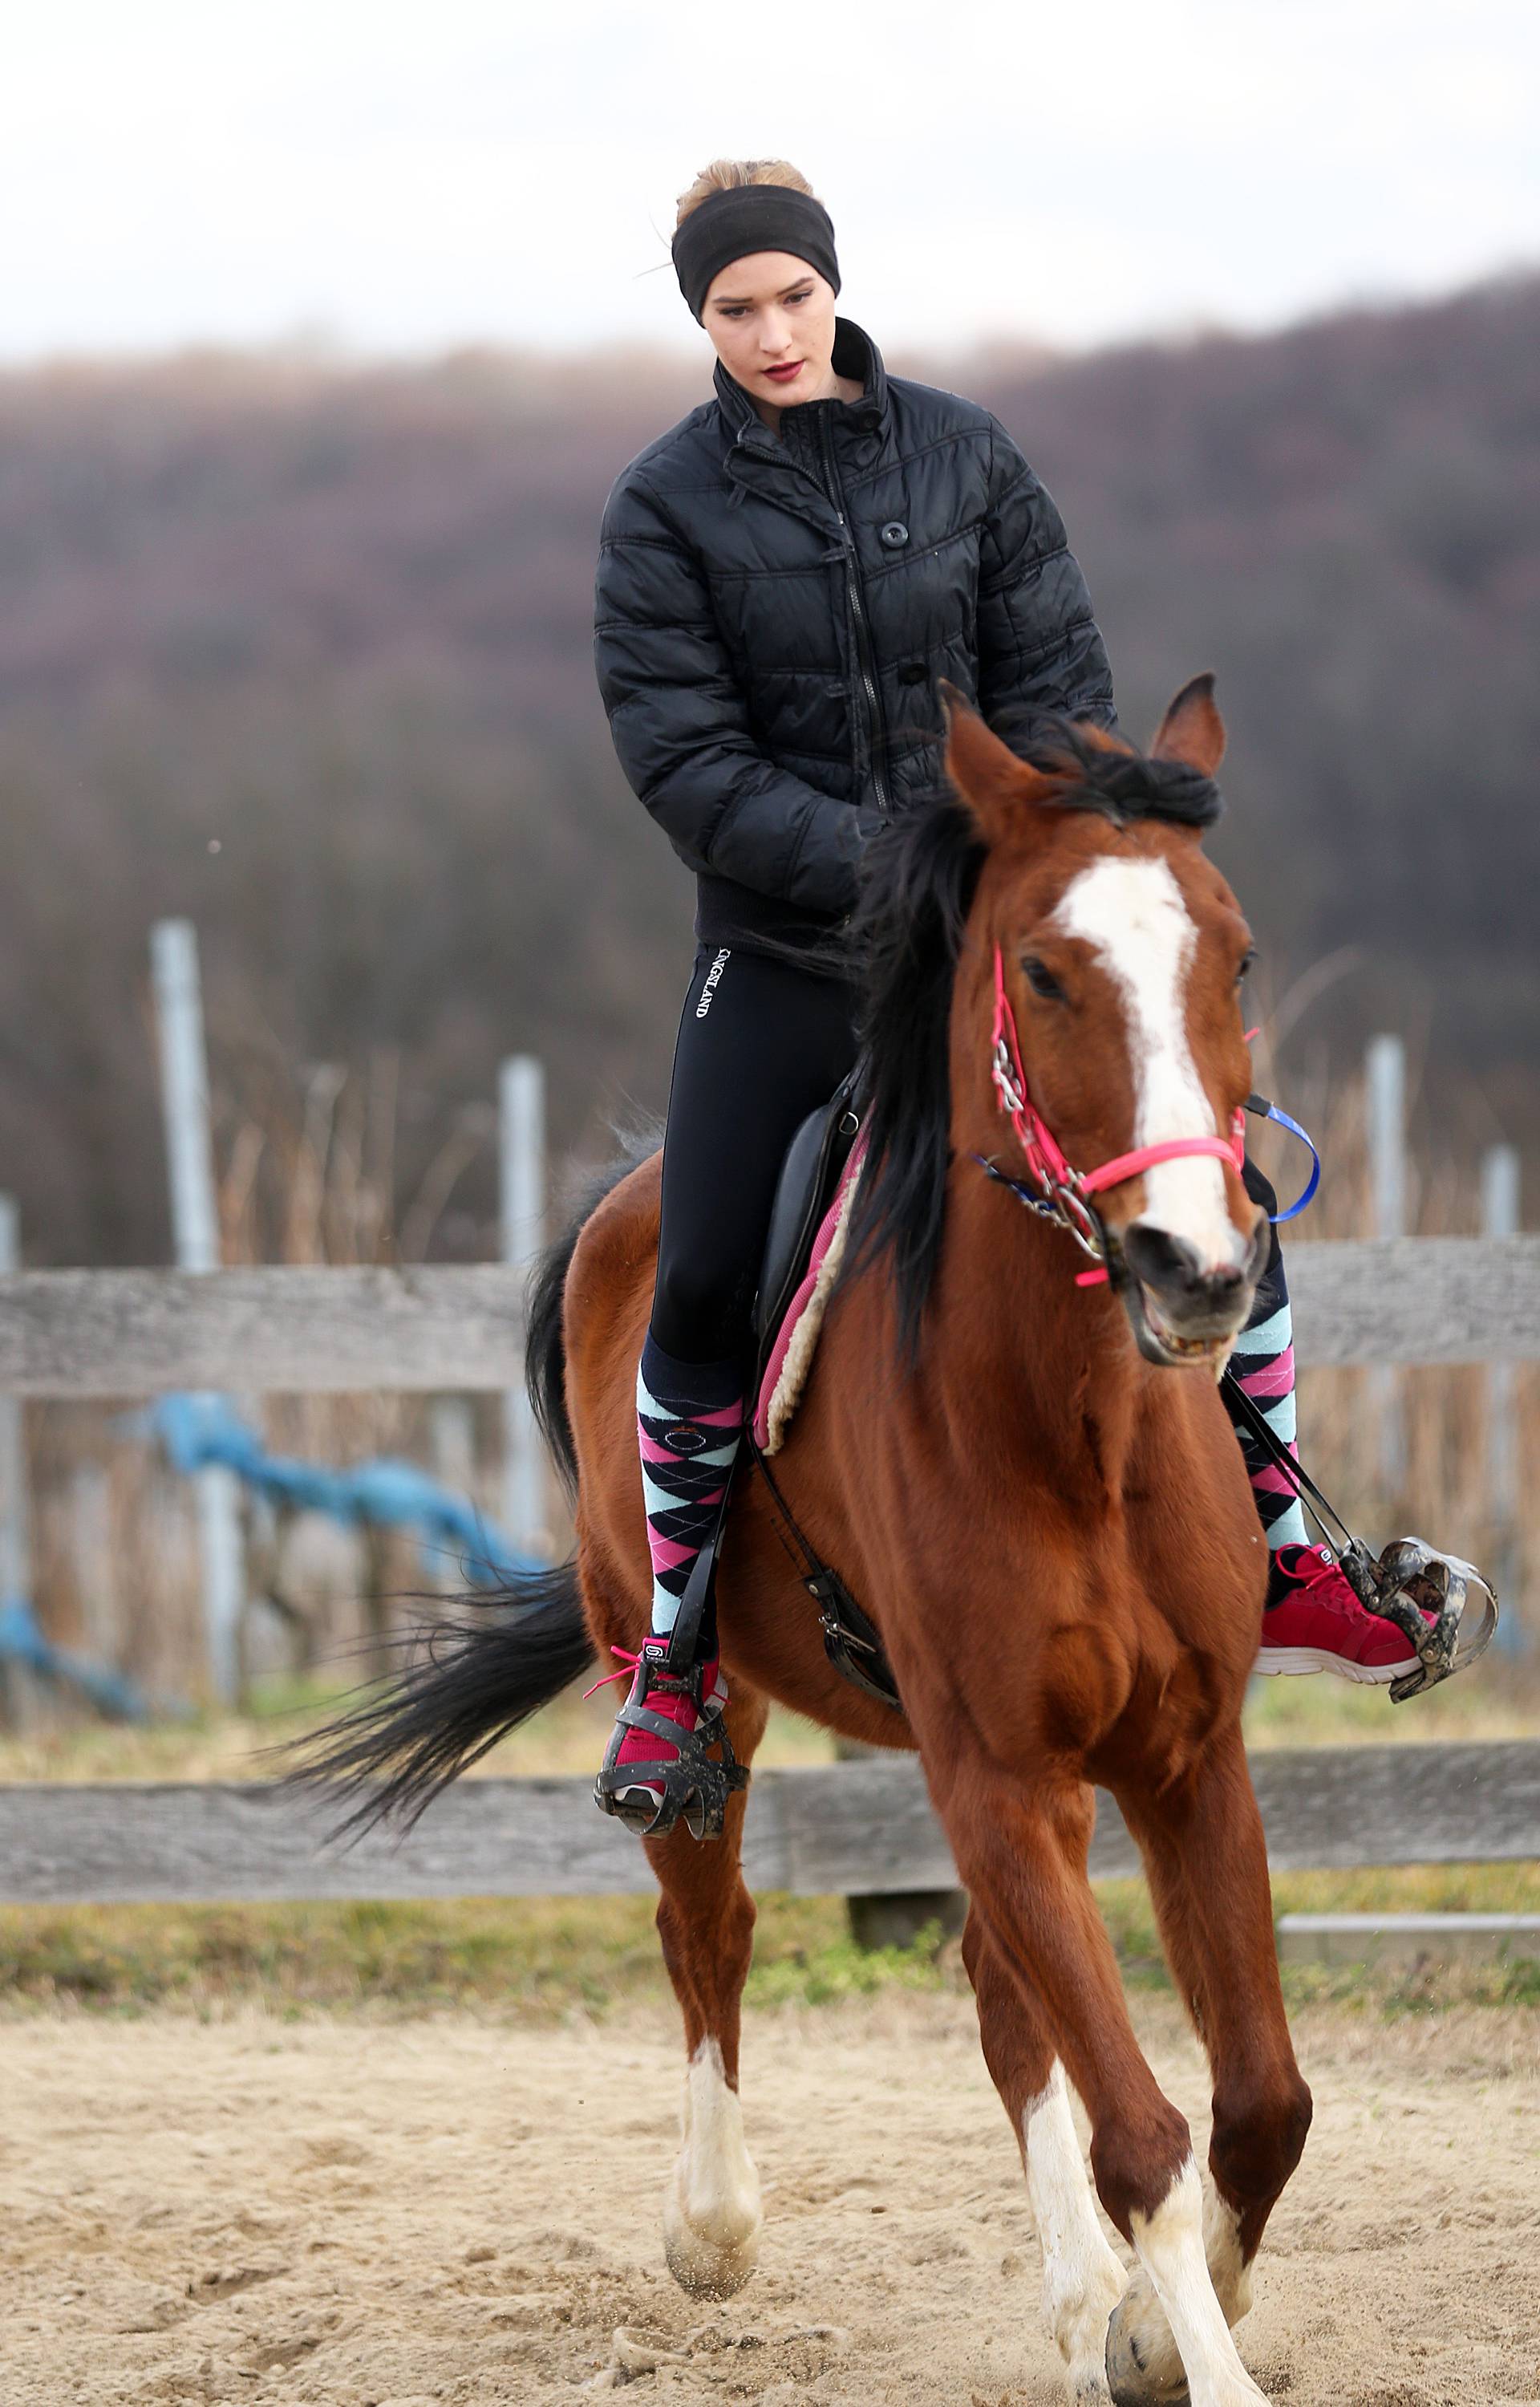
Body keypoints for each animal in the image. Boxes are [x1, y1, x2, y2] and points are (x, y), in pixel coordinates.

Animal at [313, 679, 1309, 2407]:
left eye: (1234, 956)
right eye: (1045, 970)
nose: (1196, 1268)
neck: (1074, 1429)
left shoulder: (1184, 1761)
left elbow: (1258, 2102)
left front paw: (1143, 2332)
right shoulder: (1001, 1773)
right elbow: (1143, 2132)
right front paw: (1174, 2344)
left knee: (996, 1996)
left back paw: (1072, 2303)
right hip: (690, 1685)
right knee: (710, 1928)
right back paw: (714, 2230)